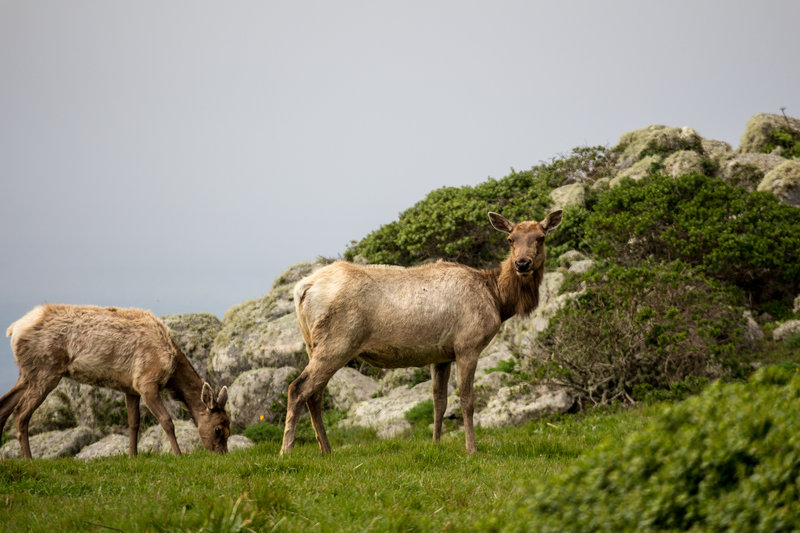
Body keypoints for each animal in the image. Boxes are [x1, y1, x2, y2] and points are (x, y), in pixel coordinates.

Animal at [0, 304, 231, 458]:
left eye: (229, 428)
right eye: (218, 429)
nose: (222, 455)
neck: (171, 372)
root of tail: (14, 329)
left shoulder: (131, 388)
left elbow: (134, 423)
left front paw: (133, 456)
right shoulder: (146, 381)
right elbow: (167, 421)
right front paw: (178, 454)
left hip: (26, 373)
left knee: (4, 406)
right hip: (46, 370)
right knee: (21, 412)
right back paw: (29, 459)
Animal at [282, 208, 564, 454]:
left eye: (540, 237)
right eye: (510, 239)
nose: (522, 263)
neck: (497, 299)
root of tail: (302, 289)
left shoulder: (441, 355)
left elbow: (439, 402)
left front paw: (436, 444)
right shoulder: (468, 344)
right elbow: (467, 400)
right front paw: (471, 449)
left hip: (313, 344)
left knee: (314, 394)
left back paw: (327, 450)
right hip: (338, 342)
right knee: (298, 388)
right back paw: (287, 451)